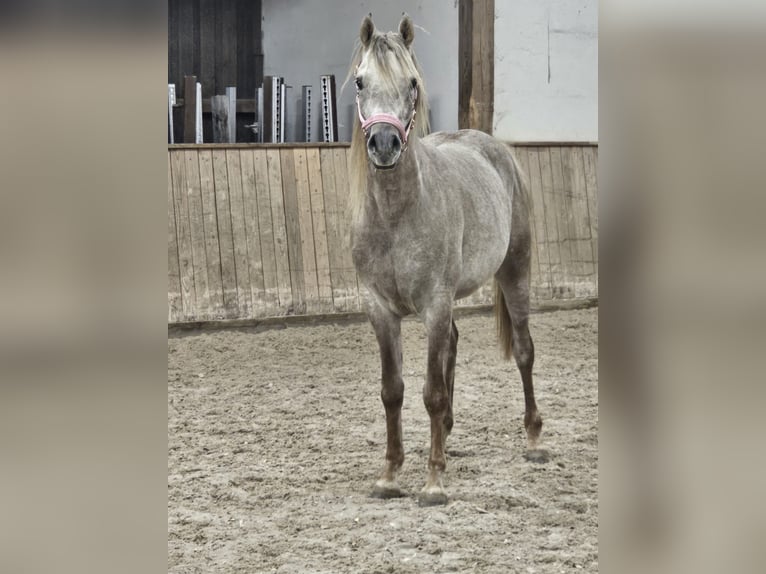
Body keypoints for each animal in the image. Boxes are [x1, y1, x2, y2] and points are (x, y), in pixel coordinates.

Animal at [352, 14, 544, 508]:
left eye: (413, 82)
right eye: (360, 81)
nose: (384, 144)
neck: (397, 214)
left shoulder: (435, 304)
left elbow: (432, 392)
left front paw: (433, 481)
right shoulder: (381, 310)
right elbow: (393, 391)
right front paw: (390, 475)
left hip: (515, 270)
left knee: (524, 350)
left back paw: (535, 439)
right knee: (453, 347)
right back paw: (450, 436)